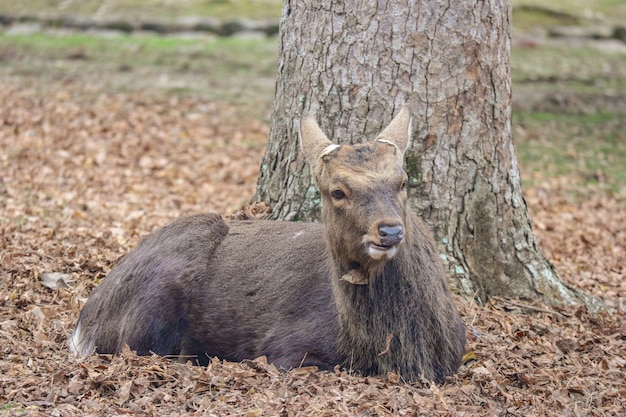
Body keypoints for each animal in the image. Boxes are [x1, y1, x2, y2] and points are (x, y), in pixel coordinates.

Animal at [70, 106, 466, 380]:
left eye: (402, 182)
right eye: (338, 191)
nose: (389, 231)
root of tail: (85, 321)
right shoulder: (285, 346)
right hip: (154, 299)